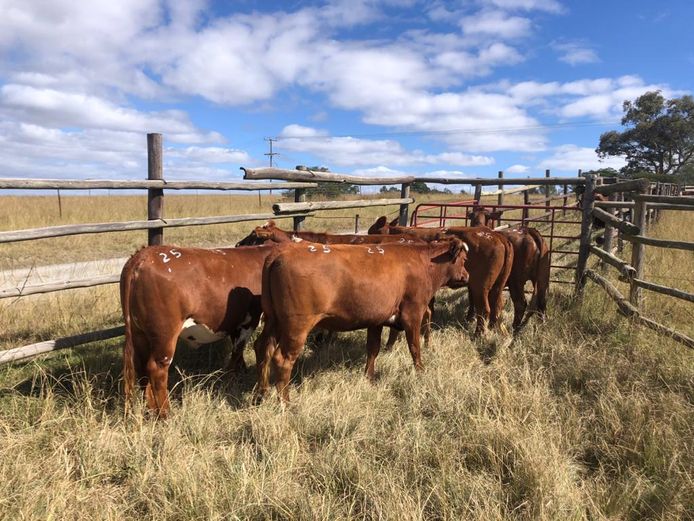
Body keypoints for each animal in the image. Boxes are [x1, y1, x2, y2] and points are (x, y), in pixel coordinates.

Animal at [121, 245, 274, 418]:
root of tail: (142, 256)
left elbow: (237, 353)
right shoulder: (249, 320)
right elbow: (239, 352)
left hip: (139, 333)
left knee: (142, 369)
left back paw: (151, 412)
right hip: (165, 335)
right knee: (156, 369)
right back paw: (165, 415)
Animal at [253, 238, 470, 400]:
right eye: (464, 258)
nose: (467, 276)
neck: (424, 261)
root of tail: (281, 251)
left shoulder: (376, 320)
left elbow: (372, 349)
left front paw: (369, 378)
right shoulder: (413, 314)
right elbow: (415, 348)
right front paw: (421, 372)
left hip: (273, 320)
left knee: (263, 348)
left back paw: (261, 394)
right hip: (296, 326)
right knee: (282, 359)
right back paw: (286, 403)